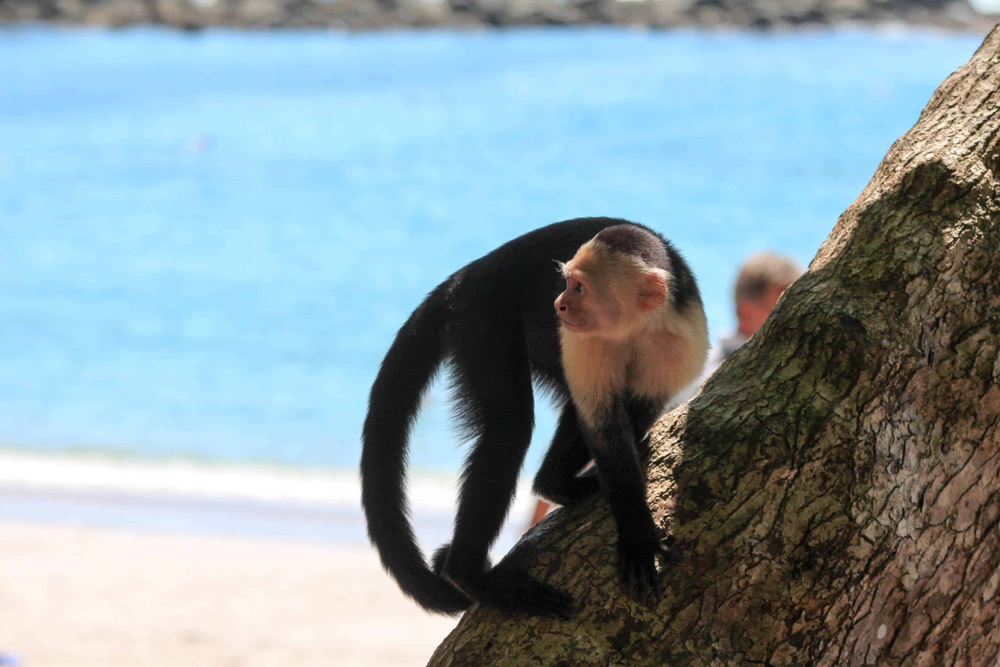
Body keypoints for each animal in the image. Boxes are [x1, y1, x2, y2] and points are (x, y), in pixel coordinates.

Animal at [364, 217, 708, 620]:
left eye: (580, 287)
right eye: (567, 282)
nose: (560, 304)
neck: (635, 327)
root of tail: (469, 273)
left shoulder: (682, 343)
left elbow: (634, 409)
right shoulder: (583, 339)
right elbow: (602, 425)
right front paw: (636, 533)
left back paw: (554, 483)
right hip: (484, 313)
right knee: (508, 432)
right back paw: (470, 575)